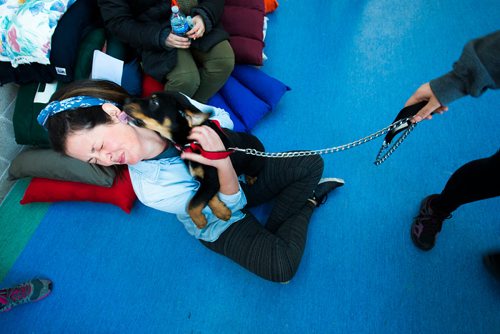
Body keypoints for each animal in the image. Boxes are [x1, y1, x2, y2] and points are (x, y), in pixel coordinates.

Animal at [123, 91, 266, 230]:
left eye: (154, 102)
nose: (125, 100)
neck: (193, 143)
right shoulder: (205, 180)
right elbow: (205, 197)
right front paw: (221, 211)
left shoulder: (211, 178)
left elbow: (192, 204)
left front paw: (200, 221)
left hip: (254, 165)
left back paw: (251, 178)